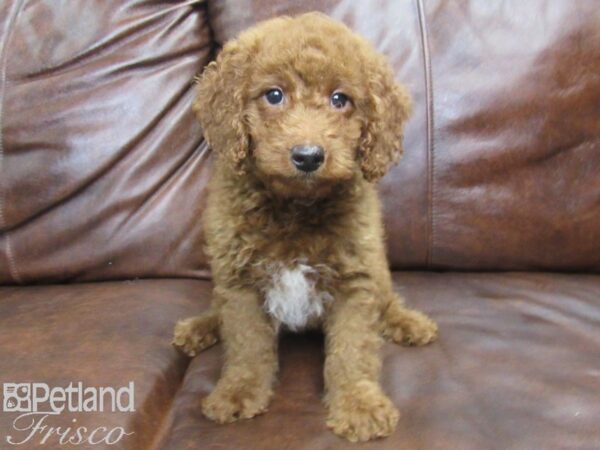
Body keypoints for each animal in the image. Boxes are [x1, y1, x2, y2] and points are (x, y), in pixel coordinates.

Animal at [171, 12, 438, 442]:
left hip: (377, 271)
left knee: (387, 299)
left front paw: (358, 405)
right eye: (274, 95)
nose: (308, 156)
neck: (295, 206)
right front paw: (238, 392)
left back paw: (408, 322)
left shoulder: (355, 280)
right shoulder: (240, 284)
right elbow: (246, 344)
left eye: (340, 99)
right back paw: (200, 326)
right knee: (219, 308)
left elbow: (351, 350)